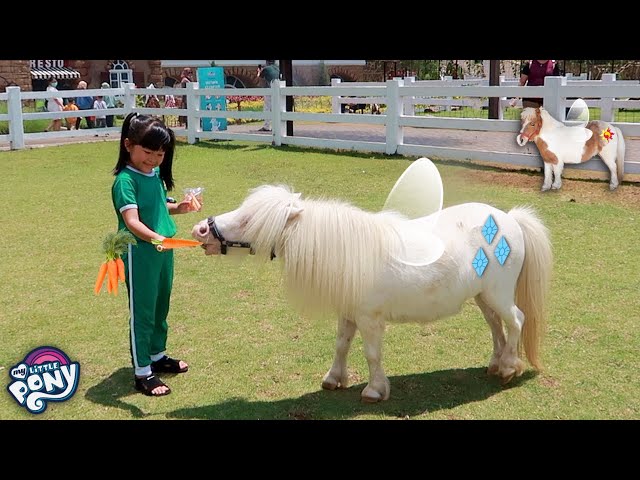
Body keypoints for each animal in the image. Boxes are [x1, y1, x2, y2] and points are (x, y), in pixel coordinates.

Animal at [192, 185, 553, 403]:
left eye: (249, 219)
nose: (201, 229)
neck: (347, 249)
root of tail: (511, 220)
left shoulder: (369, 319)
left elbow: (371, 354)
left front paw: (375, 391)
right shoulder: (348, 312)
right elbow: (341, 345)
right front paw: (333, 379)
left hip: (499, 294)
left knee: (515, 321)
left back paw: (509, 368)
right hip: (483, 297)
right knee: (496, 326)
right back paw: (495, 364)